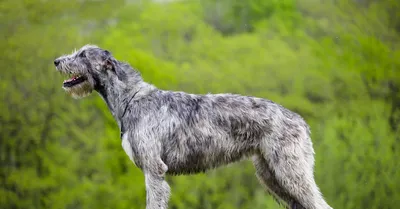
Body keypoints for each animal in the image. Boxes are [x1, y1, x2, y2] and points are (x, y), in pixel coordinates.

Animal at [54, 45, 334, 209]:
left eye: (82, 55)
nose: (56, 61)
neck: (132, 99)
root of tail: (299, 120)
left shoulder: (154, 170)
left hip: (290, 171)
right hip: (271, 175)